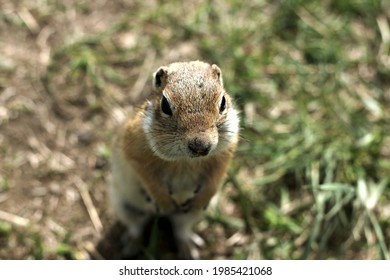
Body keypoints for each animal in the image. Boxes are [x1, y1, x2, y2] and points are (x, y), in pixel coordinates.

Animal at [108, 60, 239, 260]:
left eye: (223, 102)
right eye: (165, 105)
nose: (201, 146)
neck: (184, 160)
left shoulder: (226, 152)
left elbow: (216, 177)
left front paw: (203, 197)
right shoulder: (136, 152)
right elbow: (148, 178)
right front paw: (163, 202)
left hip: (190, 215)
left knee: (181, 229)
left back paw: (188, 249)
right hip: (124, 206)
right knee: (136, 226)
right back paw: (131, 246)